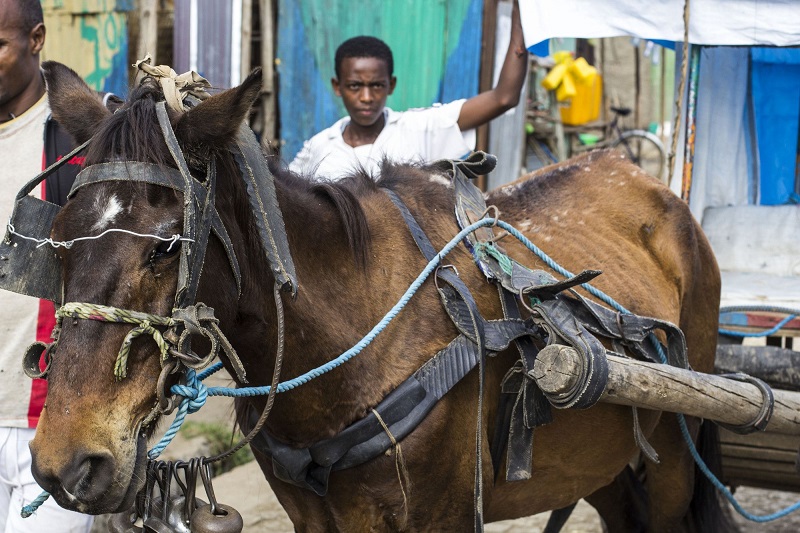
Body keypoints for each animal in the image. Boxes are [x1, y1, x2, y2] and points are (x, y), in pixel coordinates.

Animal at [27, 61, 729, 532]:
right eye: (56, 241)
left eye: (166, 247)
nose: (66, 464)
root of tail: (641, 176)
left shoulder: (441, 516)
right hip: (602, 460)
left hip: (676, 442)